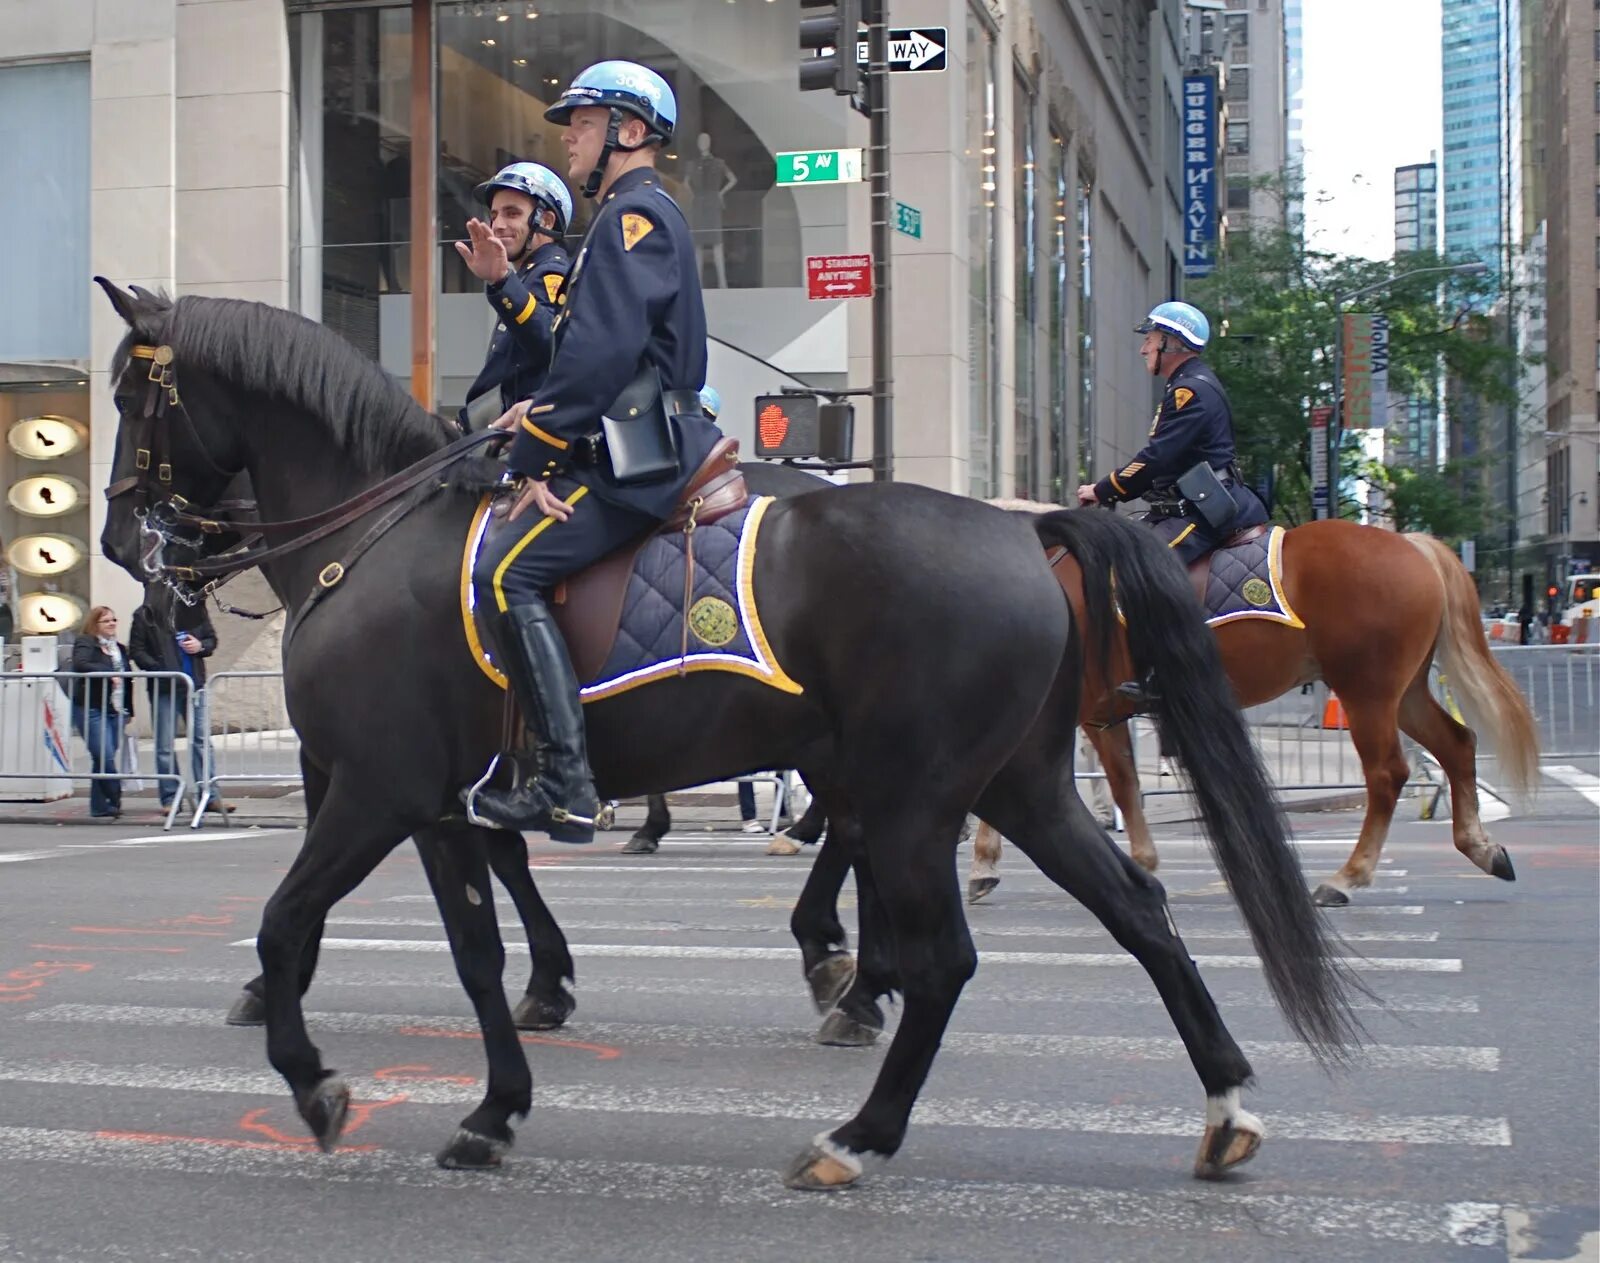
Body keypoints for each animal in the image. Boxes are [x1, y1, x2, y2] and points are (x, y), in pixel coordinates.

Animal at [93, 280, 1356, 1184]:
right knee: (1136, 910)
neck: (372, 534)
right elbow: (471, 951)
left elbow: (285, 920)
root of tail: (1023, 529)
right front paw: (496, 1103)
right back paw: (1222, 1106)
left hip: (915, 794)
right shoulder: (438, 804)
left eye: (130, 399)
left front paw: (314, 1080)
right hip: (1015, 784)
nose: (123, 546)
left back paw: (856, 1122)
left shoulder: (377, 788)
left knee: (941, 952)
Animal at [960, 496, 1536, 902]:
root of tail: (1413, 546)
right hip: (1405, 691)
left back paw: (1346, 878)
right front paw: (986, 867)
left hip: (1367, 691)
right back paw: (1482, 849)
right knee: (1457, 745)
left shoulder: (1085, 706)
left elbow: (1110, 783)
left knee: (1387, 775)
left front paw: (1139, 862)